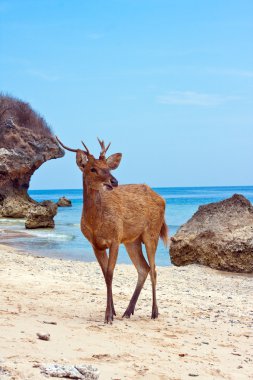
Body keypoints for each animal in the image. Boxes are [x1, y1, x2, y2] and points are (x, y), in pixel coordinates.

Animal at [56, 137, 169, 324]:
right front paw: (113, 311)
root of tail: (162, 200)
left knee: (153, 270)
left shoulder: (115, 239)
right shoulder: (95, 244)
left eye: (108, 167)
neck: (95, 223)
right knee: (143, 268)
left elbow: (110, 273)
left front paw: (108, 316)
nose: (114, 181)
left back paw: (154, 312)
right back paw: (128, 311)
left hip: (151, 233)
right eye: (92, 168)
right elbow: (104, 275)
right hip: (132, 240)